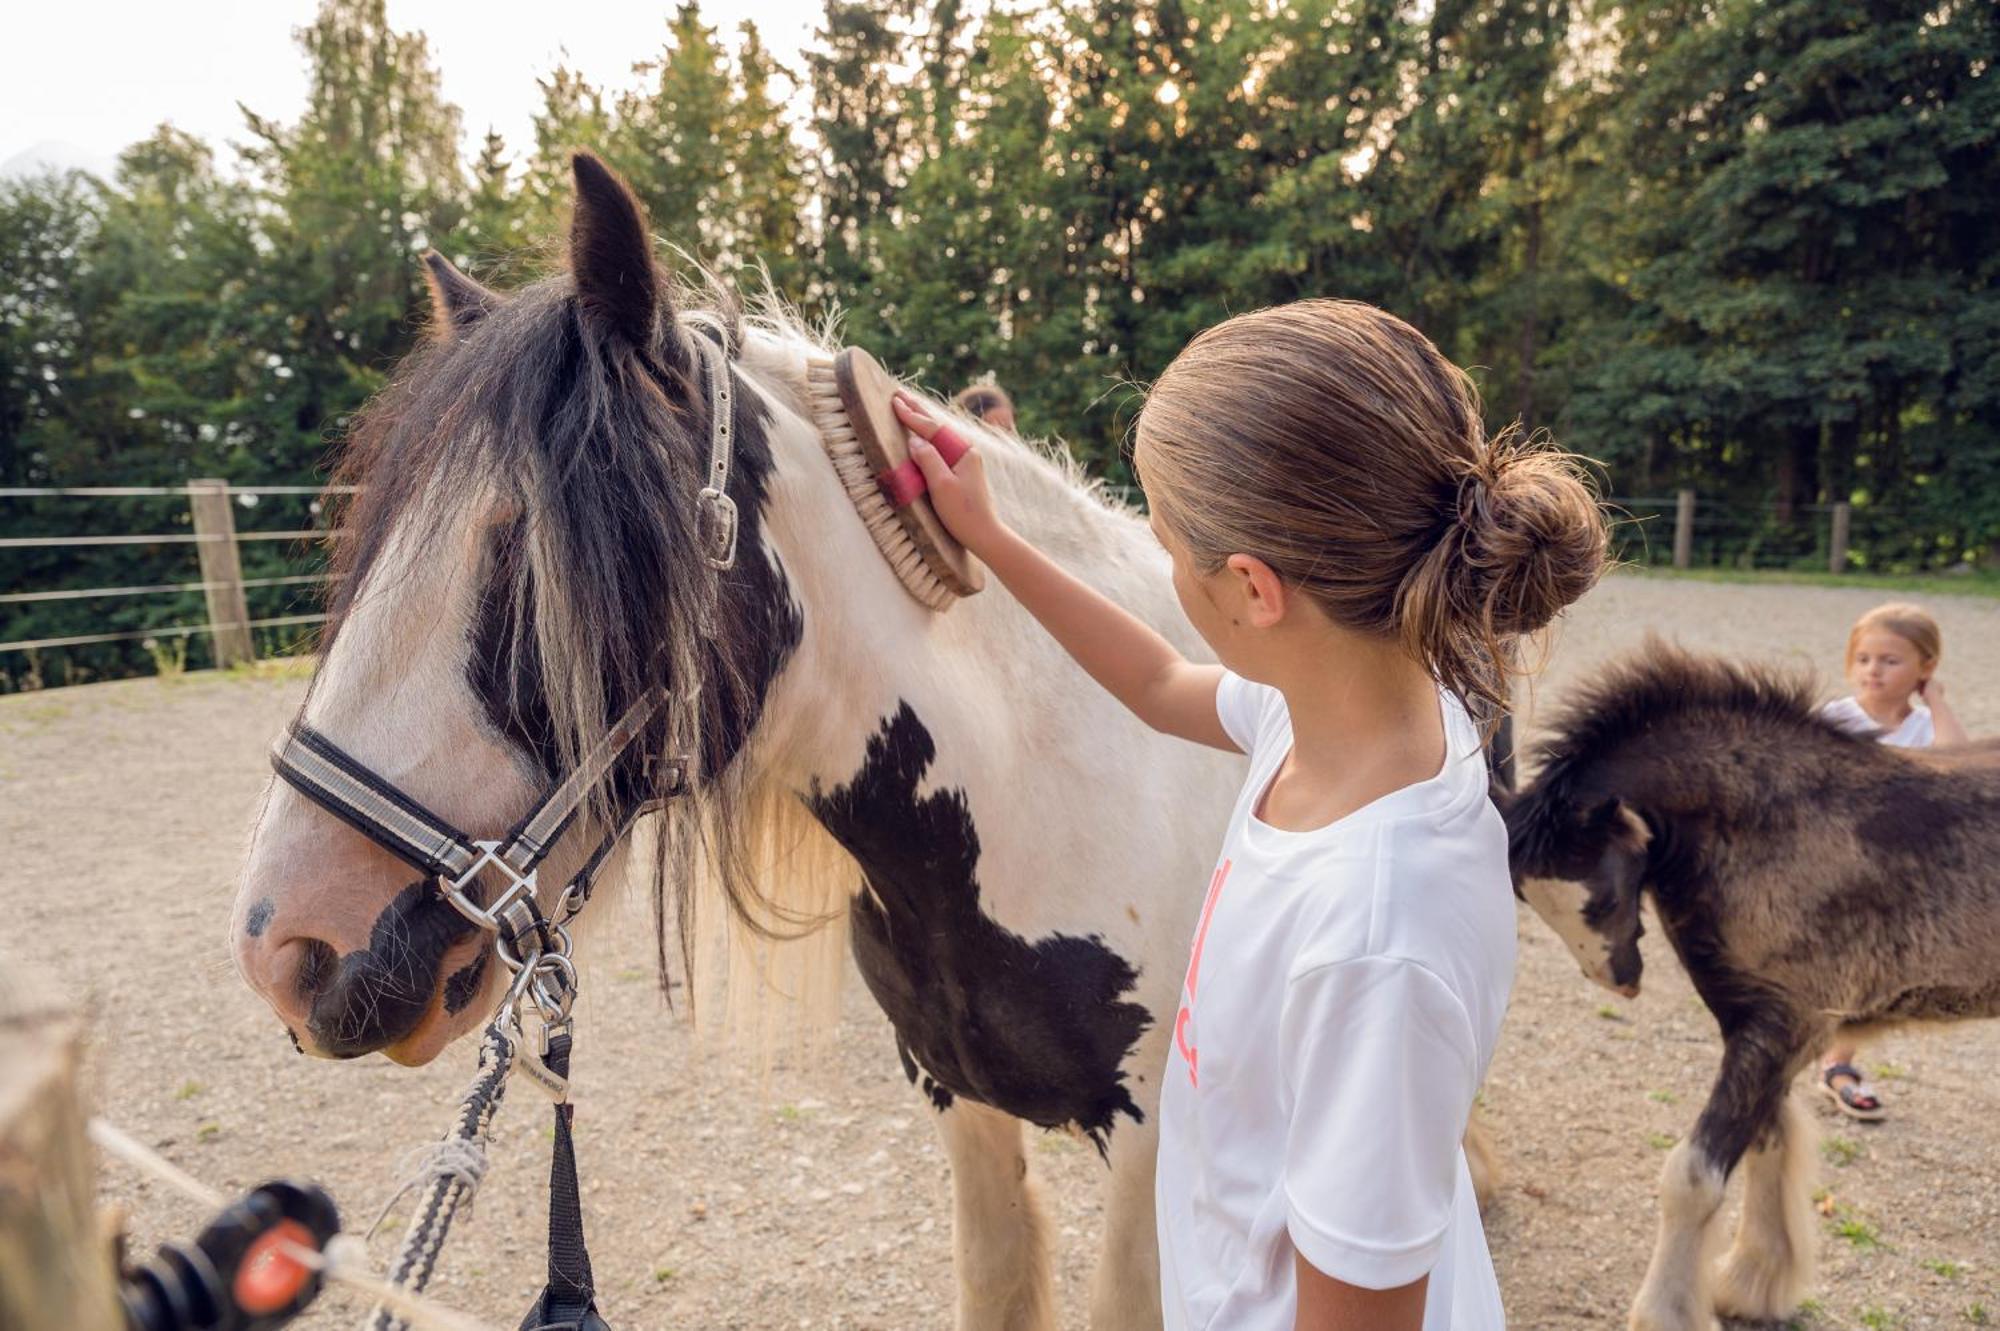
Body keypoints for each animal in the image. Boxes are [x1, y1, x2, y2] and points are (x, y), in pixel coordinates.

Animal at [1504, 647, 1992, 1327]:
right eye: (1529, 900)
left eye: (1600, 900)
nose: (1620, 981)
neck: (1778, 829)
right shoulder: (1755, 1027)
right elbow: (1769, 1144)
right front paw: (1753, 1284)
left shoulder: (1788, 1024)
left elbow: (1693, 1177)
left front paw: (1667, 1312)